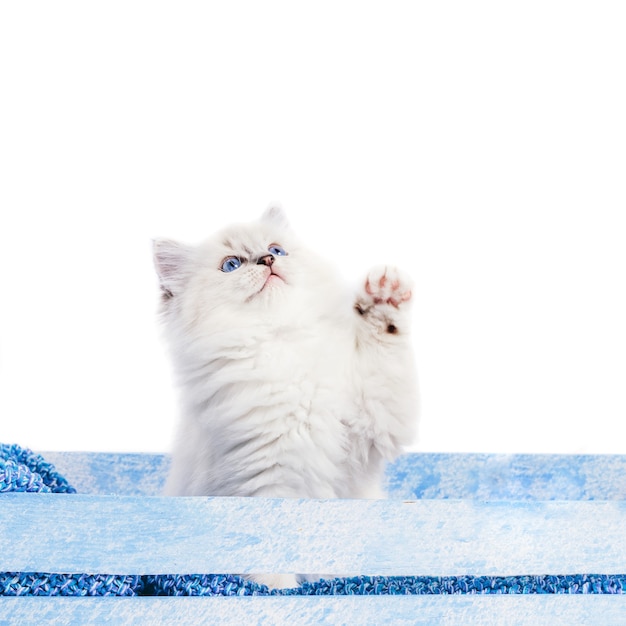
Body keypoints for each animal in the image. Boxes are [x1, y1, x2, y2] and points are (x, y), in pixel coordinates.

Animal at [153, 205, 416, 584]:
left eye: (277, 250)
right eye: (231, 265)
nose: (267, 260)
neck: (285, 344)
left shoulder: (375, 424)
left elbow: (382, 347)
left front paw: (384, 296)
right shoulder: (265, 482)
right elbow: (272, 559)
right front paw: (284, 592)